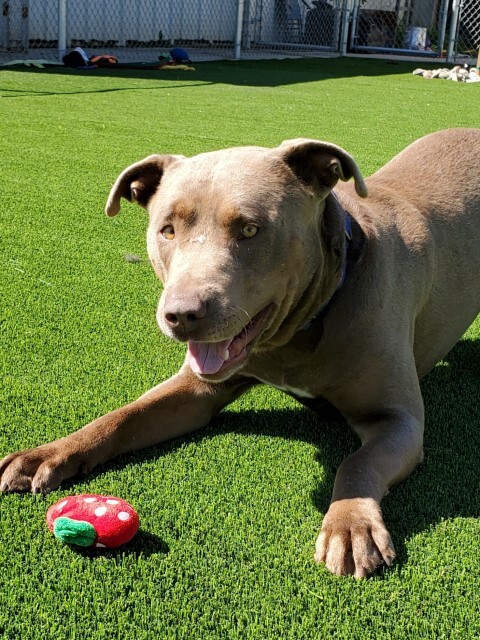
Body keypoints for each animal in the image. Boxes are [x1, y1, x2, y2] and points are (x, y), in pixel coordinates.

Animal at [0, 127, 480, 576]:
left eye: (250, 229)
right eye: (167, 229)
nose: (181, 314)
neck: (302, 328)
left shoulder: (397, 421)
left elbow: (357, 463)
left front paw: (350, 524)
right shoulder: (197, 391)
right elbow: (122, 417)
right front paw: (48, 453)